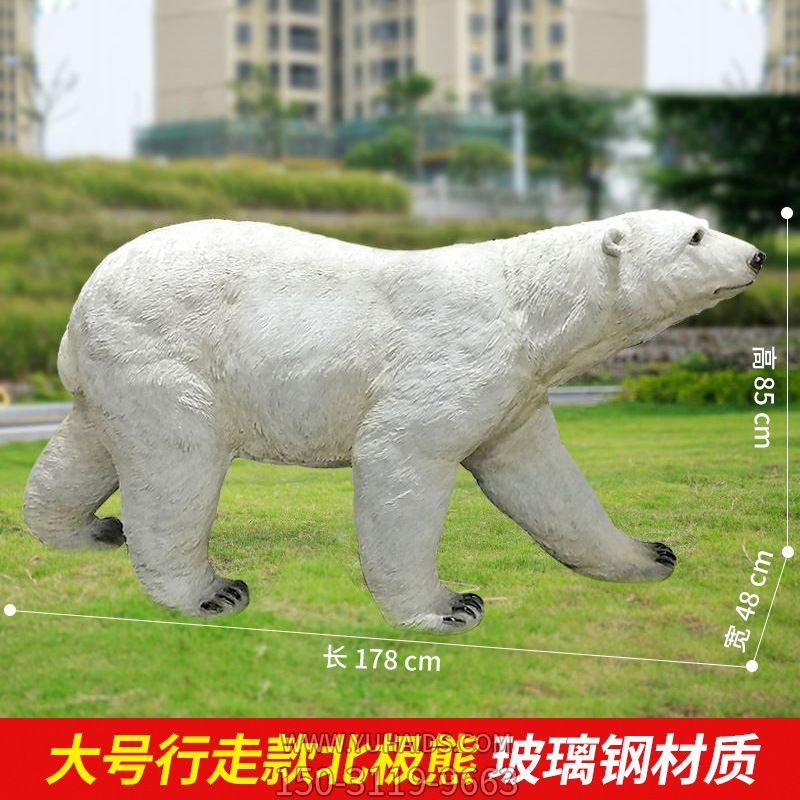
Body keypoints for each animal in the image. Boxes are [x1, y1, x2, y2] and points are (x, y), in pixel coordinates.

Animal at [22, 210, 765, 632]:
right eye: (696, 235)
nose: (757, 255)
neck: (530, 306)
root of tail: (79, 305)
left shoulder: (515, 393)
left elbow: (544, 482)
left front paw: (650, 554)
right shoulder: (456, 356)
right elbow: (400, 459)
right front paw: (450, 607)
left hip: (116, 372)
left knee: (88, 447)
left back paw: (87, 530)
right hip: (168, 354)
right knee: (176, 466)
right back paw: (211, 592)